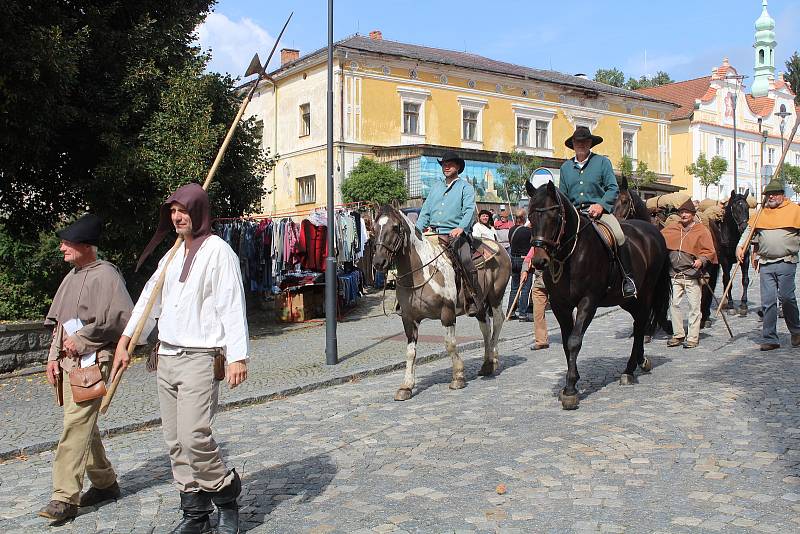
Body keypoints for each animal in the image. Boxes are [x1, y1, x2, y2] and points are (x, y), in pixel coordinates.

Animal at [370, 205, 510, 402]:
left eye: (396, 227)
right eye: (374, 229)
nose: (379, 262)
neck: (420, 273)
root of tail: (499, 247)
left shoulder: (447, 313)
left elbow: (449, 344)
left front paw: (458, 377)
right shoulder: (408, 319)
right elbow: (410, 352)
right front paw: (406, 386)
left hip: (496, 296)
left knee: (497, 322)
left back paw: (493, 360)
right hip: (479, 303)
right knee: (485, 328)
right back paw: (487, 363)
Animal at [520, 180, 672, 410]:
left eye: (555, 216)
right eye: (530, 216)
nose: (538, 261)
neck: (570, 255)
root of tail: (652, 230)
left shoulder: (588, 302)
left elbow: (575, 340)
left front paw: (570, 390)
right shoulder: (560, 305)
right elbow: (566, 342)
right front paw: (572, 380)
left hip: (646, 292)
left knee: (641, 323)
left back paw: (629, 370)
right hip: (626, 299)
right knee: (638, 322)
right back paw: (640, 361)